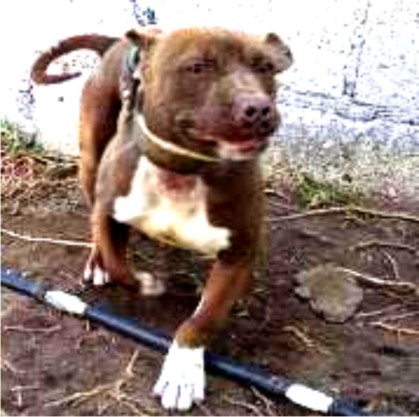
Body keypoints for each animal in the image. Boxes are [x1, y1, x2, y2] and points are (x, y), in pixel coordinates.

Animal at [31, 26, 292, 410]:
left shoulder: (239, 254)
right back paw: (97, 262)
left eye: (265, 67)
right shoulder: (109, 211)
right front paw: (146, 283)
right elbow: (119, 265)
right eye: (198, 67)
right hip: (90, 157)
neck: (183, 169)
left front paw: (182, 369)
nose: (258, 108)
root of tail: (115, 42)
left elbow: (203, 317)